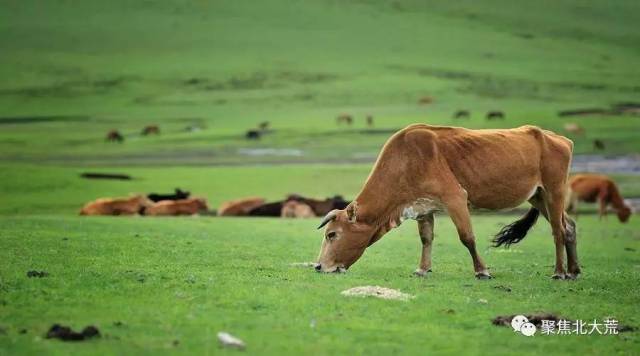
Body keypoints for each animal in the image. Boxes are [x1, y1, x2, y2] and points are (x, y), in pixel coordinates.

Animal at [316, 125, 580, 280]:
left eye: (332, 234)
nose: (318, 266)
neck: (406, 162)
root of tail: (557, 138)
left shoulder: (455, 198)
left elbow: (467, 237)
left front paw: (482, 270)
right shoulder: (422, 208)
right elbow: (426, 238)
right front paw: (423, 269)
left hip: (554, 192)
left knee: (557, 230)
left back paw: (559, 272)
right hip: (538, 197)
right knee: (569, 227)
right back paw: (574, 271)